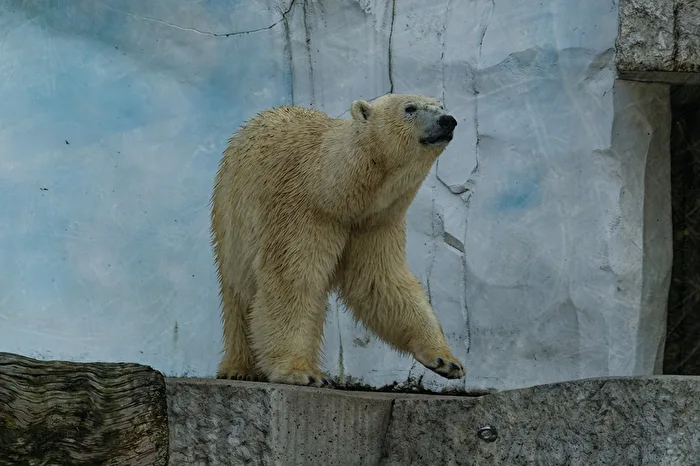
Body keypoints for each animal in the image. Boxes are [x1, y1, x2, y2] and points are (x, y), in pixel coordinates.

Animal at [210, 93, 465, 387]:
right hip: (231, 215)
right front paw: (300, 371)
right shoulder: (301, 211)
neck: (333, 188)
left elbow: (380, 281)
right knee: (239, 290)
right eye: (409, 108)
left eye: (441, 106)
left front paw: (445, 360)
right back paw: (239, 367)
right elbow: (292, 280)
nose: (447, 120)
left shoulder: (374, 222)